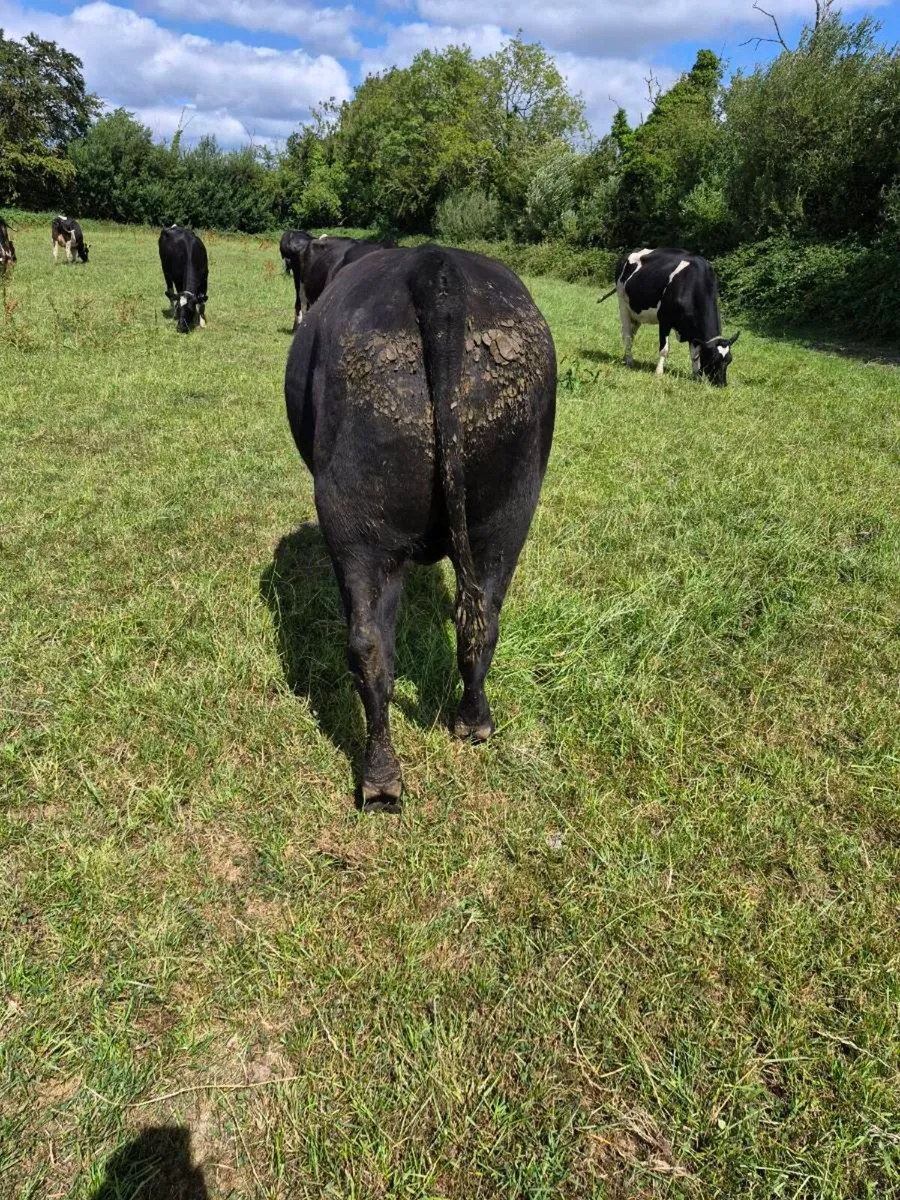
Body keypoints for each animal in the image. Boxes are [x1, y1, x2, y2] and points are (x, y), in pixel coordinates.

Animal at [284, 244, 556, 810]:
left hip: (357, 523)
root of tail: (435, 269)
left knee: (369, 645)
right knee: (480, 621)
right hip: (509, 511)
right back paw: (473, 723)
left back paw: (380, 779)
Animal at [599, 247, 739, 386]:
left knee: (632, 334)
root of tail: (629, 253)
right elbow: (664, 349)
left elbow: (694, 354)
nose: (722, 384)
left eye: (729, 360)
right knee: (627, 335)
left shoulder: (694, 330)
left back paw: (626, 357)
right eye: (713, 359)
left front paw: (695, 376)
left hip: (636, 312)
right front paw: (659, 372)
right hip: (623, 303)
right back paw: (629, 361)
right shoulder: (665, 320)